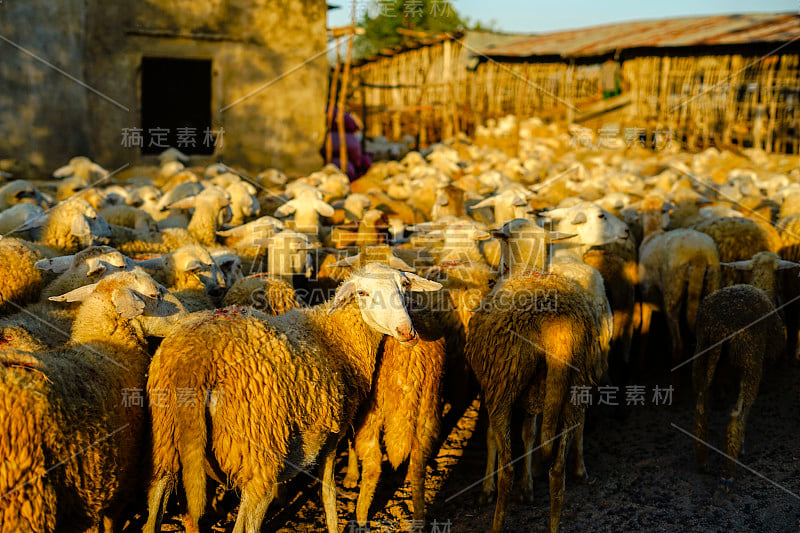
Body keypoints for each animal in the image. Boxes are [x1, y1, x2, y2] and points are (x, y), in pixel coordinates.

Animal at [145, 262, 444, 532]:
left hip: (167, 436)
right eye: (362, 293)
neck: (336, 336)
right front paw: (333, 525)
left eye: (404, 286)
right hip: (257, 449)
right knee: (246, 524)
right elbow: (328, 492)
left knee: (155, 504)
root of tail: (194, 360)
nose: (407, 332)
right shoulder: (331, 433)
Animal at [692, 251, 792, 496]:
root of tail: (720, 327)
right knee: (737, 415)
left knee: (701, 409)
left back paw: (702, 462)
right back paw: (728, 474)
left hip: (701, 359)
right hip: (750, 361)